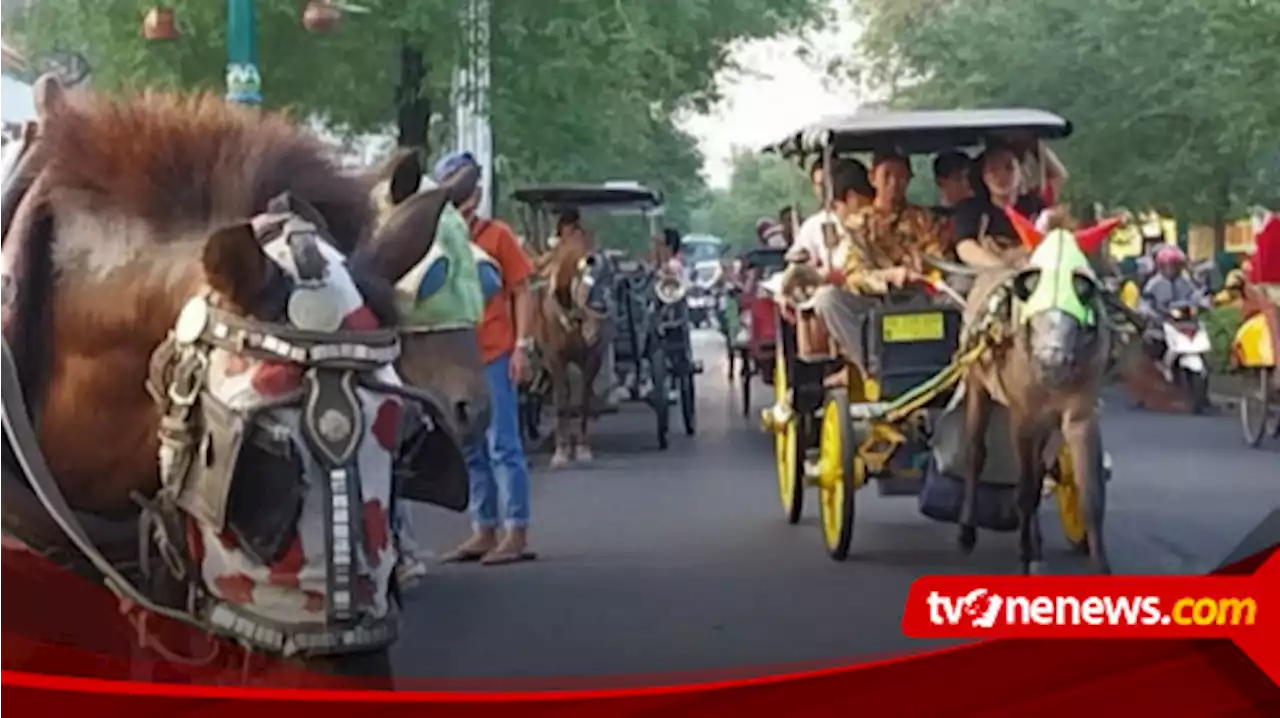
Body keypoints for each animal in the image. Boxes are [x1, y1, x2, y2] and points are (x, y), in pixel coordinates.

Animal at [506, 181, 696, 455]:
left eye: (609, 279)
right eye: (583, 281)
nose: (597, 319)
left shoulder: (593, 356)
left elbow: (586, 395)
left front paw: (582, 447)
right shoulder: (554, 356)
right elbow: (562, 400)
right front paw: (561, 450)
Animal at [757, 109, 1111, 573]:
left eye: (1084, 286)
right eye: (1031, 286)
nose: (1053, 357)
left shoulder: (1080, 412)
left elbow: (1089, 492)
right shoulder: (1024, 414)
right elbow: (1026, 485)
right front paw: (1029, 557)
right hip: (972, 389)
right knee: (975, 452)